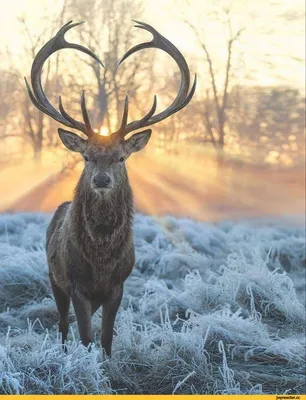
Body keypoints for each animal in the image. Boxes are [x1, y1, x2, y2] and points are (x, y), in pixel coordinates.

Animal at [23, 20, 196, 356]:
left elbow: (105, 339)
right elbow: (86, 336)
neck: (101, 262)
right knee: (62, 324)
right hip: (53, 276)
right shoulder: (76, 284)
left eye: (121, 157)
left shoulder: (119, 285)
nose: (101, 179)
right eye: (86, 156)